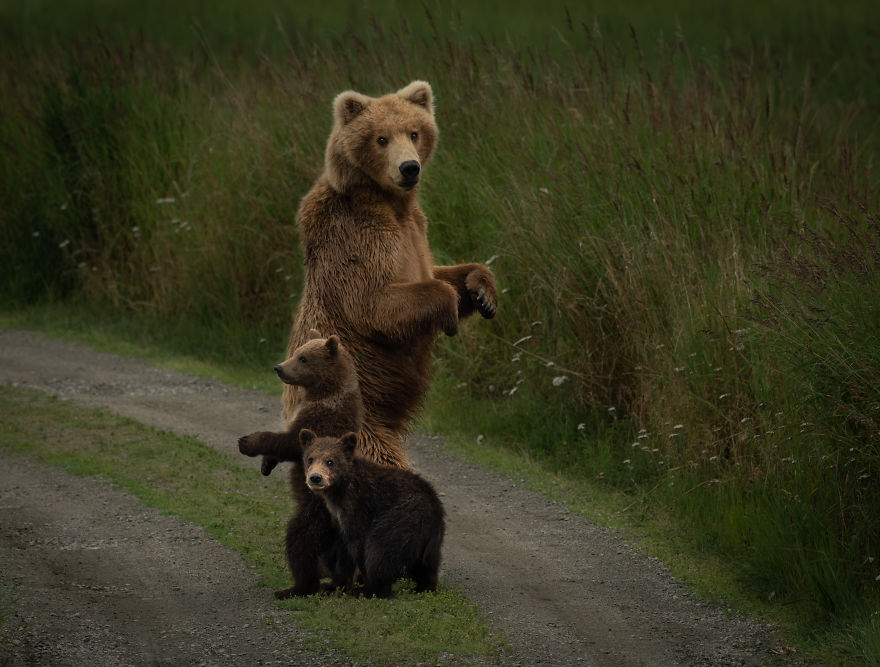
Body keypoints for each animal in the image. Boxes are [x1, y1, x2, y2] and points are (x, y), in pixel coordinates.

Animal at [238, 331, 363, 598]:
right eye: (297, 352)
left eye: (303, 358)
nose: (279, 368)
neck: (323, 393)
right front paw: (266, 465)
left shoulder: (321, 420)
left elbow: (288, 442)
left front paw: (247, 442)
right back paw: (334, 584)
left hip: (315, 513)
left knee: (300, 541)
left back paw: (295, 588)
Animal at [280, 80, 498, 471]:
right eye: (381, 138)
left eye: (414, 132)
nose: (409, 168)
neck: (390, 202)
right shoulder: (356, 237)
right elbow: (377, 304)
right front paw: (449, 314)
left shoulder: (416, 229)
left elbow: (440, 271)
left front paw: (482, 291)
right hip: (360, 416)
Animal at [300, 429, 445, 598]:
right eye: (310, 459)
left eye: (330, 461)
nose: (315, 478)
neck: (340, 490)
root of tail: (433, 508)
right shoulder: (338, 515)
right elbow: (343, 546)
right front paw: (333, 585)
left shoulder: (359, 507)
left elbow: (356, 545)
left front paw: (349, 583)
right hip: (430, 540)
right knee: (427, 564)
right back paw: (423, 587)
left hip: (399, 521)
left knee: (380, 550)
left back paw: (371, 589)